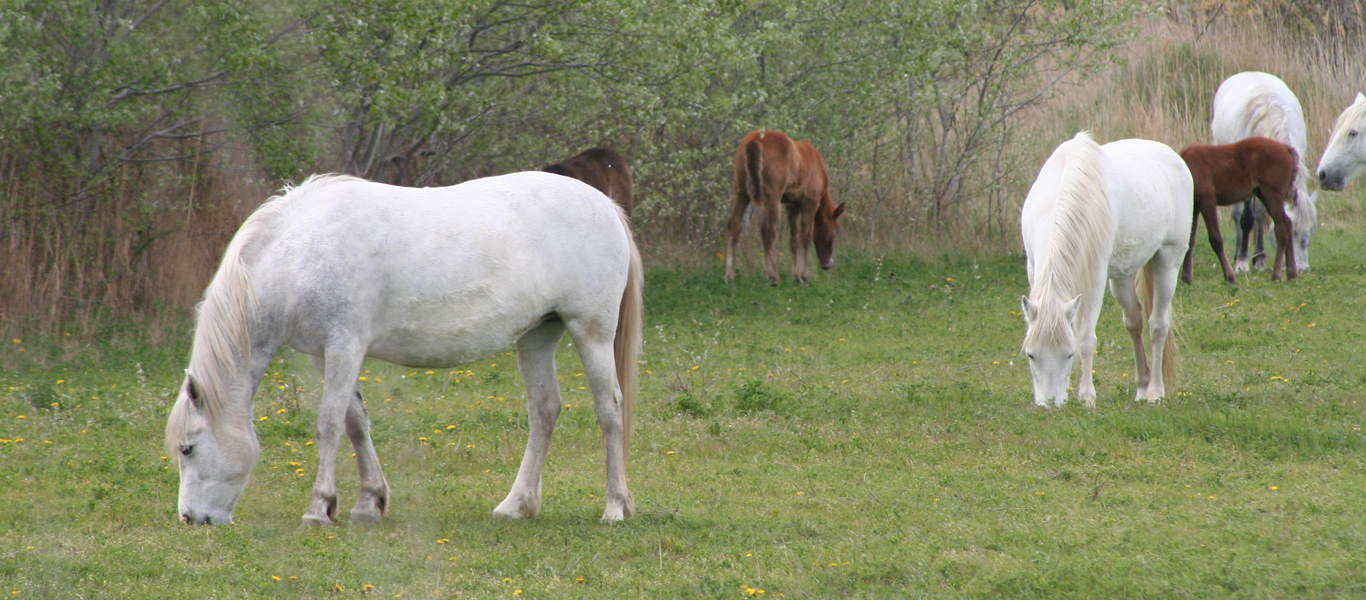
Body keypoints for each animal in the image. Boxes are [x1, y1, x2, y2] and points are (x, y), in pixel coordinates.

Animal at [166, 171, 644, 524]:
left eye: (188, 448)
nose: (190, 518)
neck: (300, 254)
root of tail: (606, 206)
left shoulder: (344, 345)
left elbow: (328, 423)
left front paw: (320, 507)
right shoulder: (324, 353)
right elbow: (355, 422)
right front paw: (368, 502)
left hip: (591, 331)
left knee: (610, 410)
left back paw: (615, 507)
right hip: (538, 336)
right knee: (544, 411)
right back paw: (516, 505)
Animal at [726, 128, 841, 287]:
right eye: (836, 229)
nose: (827, 264)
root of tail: (753, 141)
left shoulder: (792, 205)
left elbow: (794, 238)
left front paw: (796, 276)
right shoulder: (811, 200)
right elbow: (806, 235)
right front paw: (804, 276)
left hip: (741, 191)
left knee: (735, 225)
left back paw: (729, 275)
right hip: (773, 196)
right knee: (768, 230)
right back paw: (774, 277)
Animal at [1021, 132, 1191, 410]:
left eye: (1069, 354)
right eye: (1031, 355)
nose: (1050, 404)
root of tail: (1171, 155)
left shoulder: (1096, 277)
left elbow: (1086, 339)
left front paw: (1087, 397)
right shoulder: (1033, 267)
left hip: (1168, 261)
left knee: (1157, 325)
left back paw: (1155, 391)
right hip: (1122, 277)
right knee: (1135, 322)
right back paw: (1141, 387)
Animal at [1180, 137, 1294, 285]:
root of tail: (1286, 148)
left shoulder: (1207, 201)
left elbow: (1216, 239)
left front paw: (1229, 276)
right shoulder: (1195, 206)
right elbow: (1190, 239)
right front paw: (1186, 277)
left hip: (1273, 196)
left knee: (1281, 231)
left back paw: (1276, 275)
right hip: (1264, 195)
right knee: (1288, 223)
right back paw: (1292, 273)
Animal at [1218, 71, 1311, 274]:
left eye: (1310, 232)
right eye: (1293, 231)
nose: (1301, 268)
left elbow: (1260, 214)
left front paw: (1259, 259)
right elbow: (1246, 218)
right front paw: (1242, 261)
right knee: (1237, 214)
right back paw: (1238, 255)